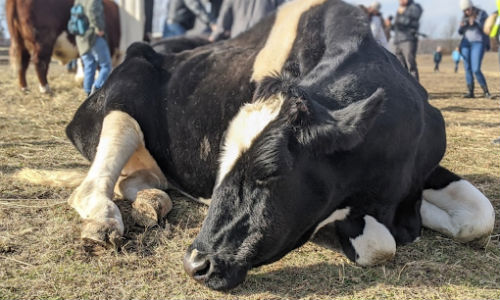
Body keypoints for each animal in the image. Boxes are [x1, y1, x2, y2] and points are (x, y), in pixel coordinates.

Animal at [64, 0, 494, 292]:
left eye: (268, 173)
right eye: (221, 165)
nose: (195, 263)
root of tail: (143, 49)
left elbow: (480, 215)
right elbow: (378, 242)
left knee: (140, 179)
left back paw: (152, 202)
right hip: (120, 107)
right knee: (92, 185)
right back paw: (105, 221)